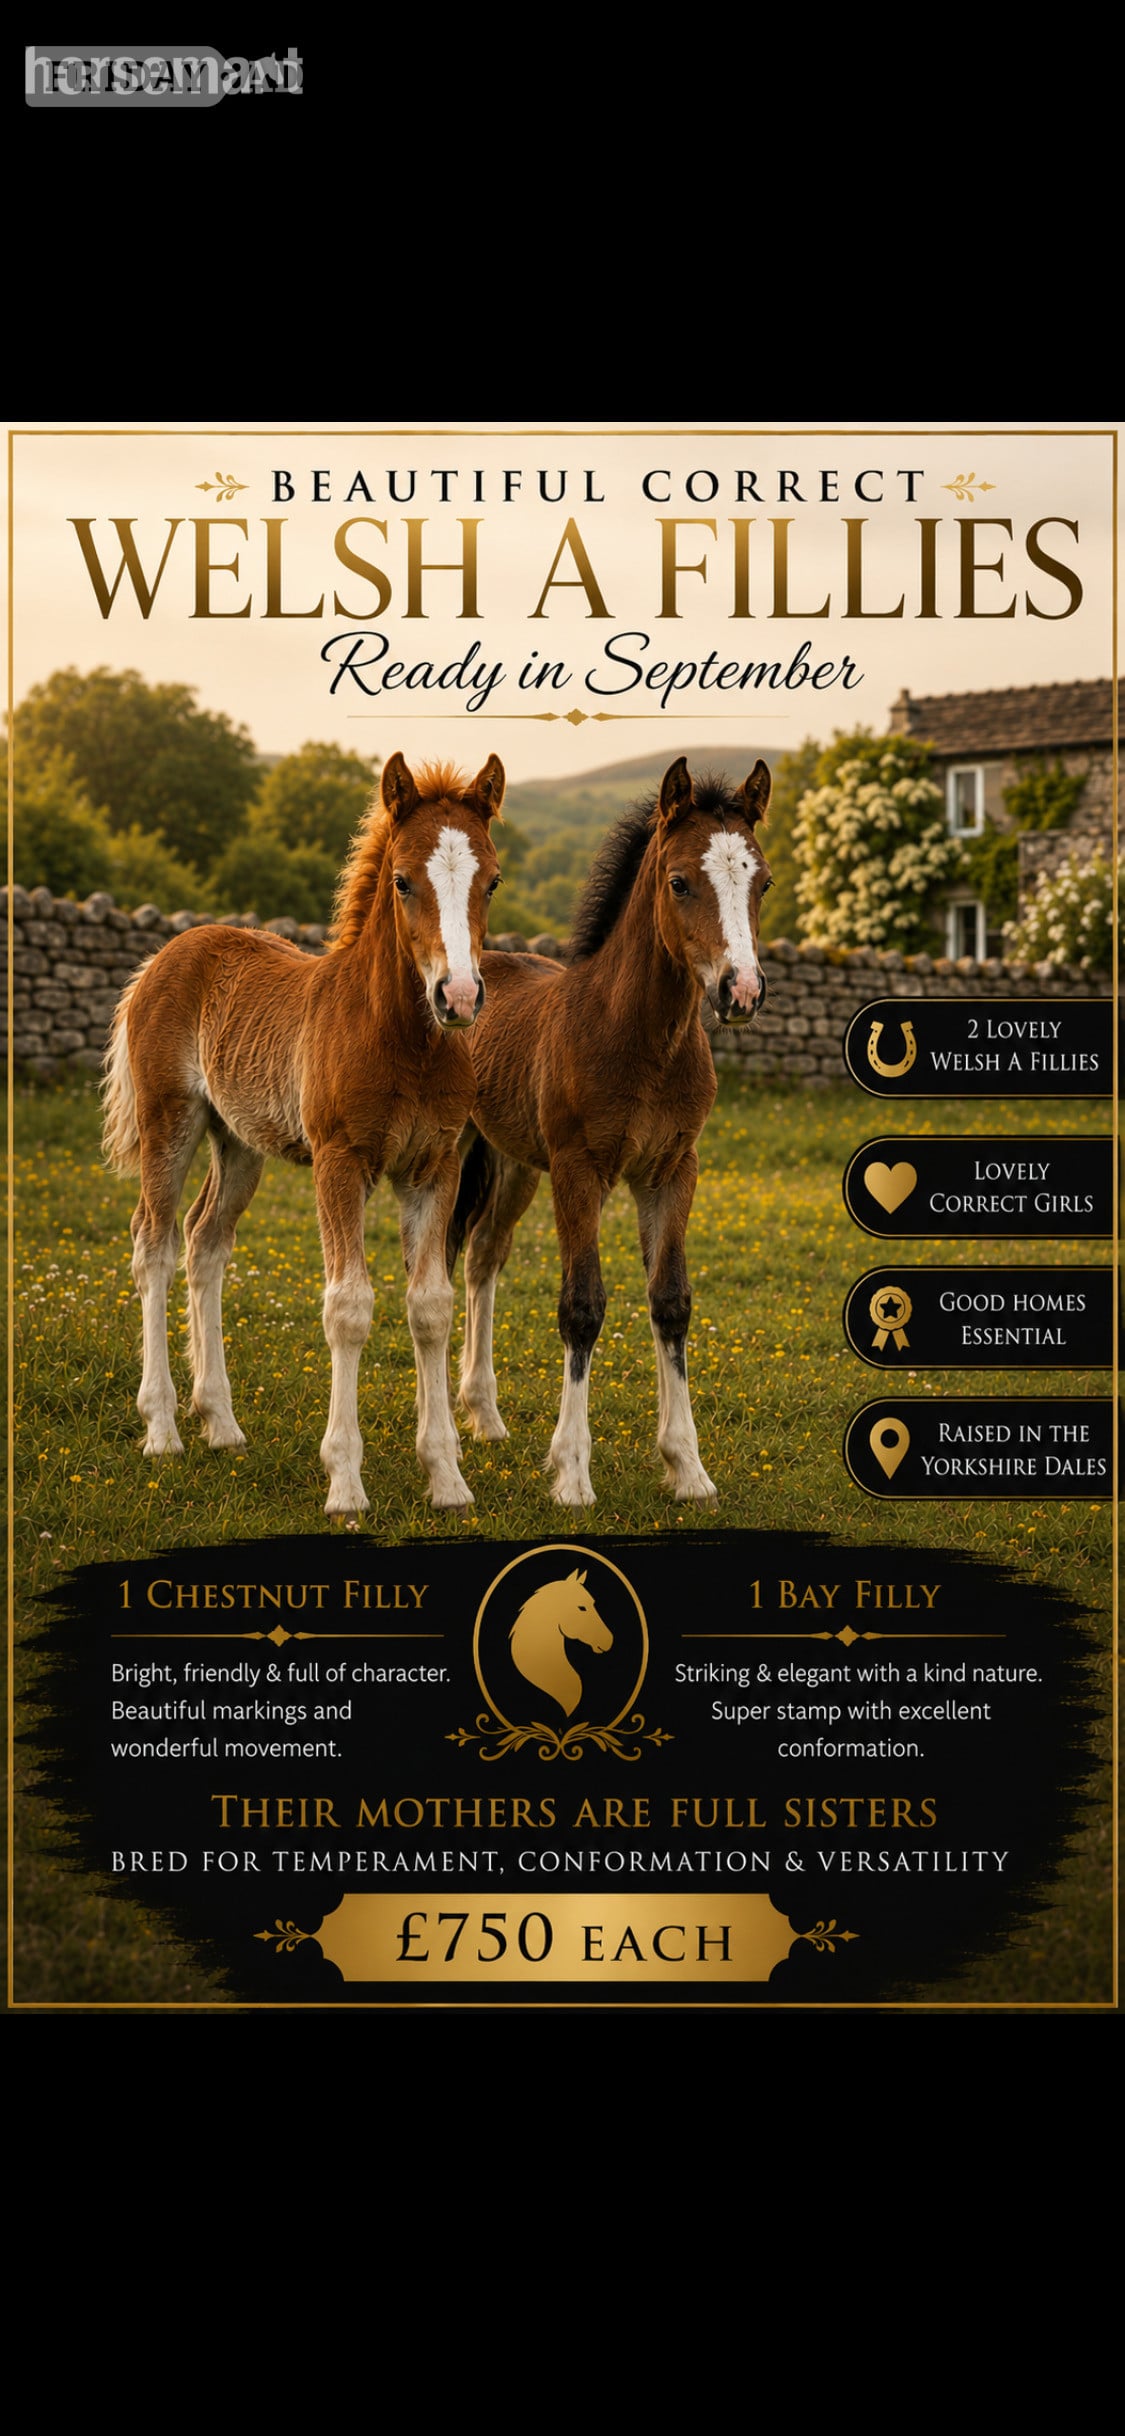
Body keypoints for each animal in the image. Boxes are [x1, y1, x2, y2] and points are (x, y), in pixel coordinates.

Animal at [101, 751, 504, 1520]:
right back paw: (162, 1428)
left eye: (492, 880)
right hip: (171, 1122)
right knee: (154, 1244)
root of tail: (164, 955)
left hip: (238, 1143)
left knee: (204, 1242)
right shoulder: (338, 1162)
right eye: (402, 880)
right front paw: (345, 1483)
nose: (460, 998)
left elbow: (431, 1308)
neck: (403, 1042)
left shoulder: (434, 1166)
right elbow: (348, 1306)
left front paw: (446, 1478)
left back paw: (221, 1423)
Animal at [451, 755, 771, 1507]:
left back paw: (485, 1415)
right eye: (679, 881)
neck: (639, 1039)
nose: (740, 992)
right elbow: (582, 1306)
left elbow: (670, 1301)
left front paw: (687, 1467)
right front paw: (570, 1471)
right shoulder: (580, 1171)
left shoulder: (671, 1171)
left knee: (483, 1258)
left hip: (514, 1165)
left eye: (763, 881)